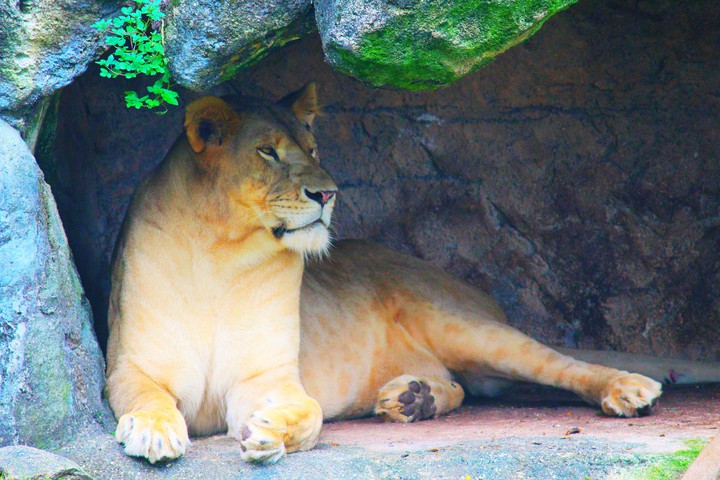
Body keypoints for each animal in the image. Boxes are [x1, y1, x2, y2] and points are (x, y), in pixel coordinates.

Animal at [106, 84, 718, 465]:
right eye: (267, 152)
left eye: (313, 147)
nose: (328, 193)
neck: (223, 255)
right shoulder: (131, 367)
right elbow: (148, 398)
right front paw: (154, 432)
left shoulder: (270, 378)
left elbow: (306, 412)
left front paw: (270, 432)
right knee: (465, 386)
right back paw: (413, 398)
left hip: (464, 325)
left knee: (555, 365)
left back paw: (629, 389)